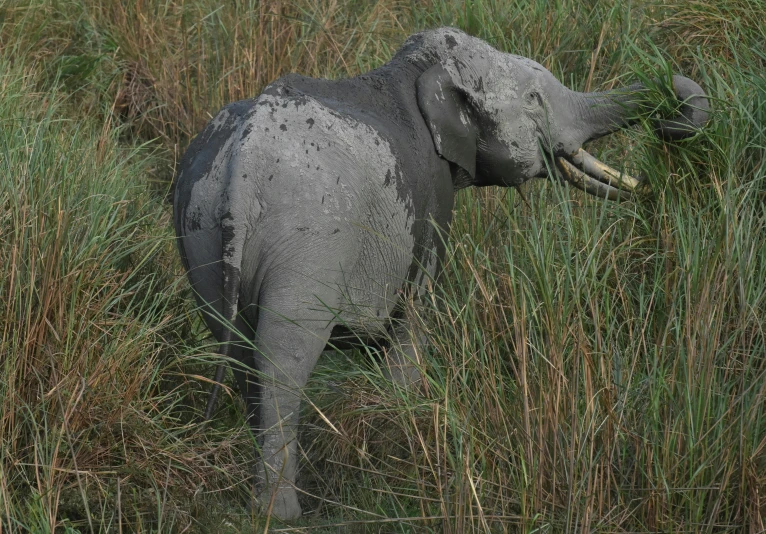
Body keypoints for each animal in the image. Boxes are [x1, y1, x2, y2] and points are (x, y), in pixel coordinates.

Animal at [172, 27, 708, 520]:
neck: (415, 70)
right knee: (284, 358)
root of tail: (243, 166)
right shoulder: (433, 202)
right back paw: (281, 515)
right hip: (309, 242)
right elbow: (414, 318)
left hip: (200, 232)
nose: (666, 125)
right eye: (534, 100)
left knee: (237, 350)